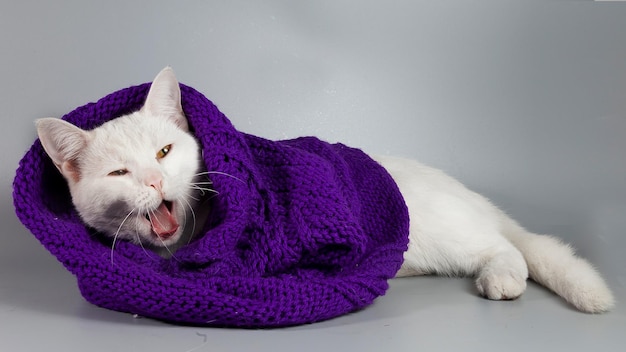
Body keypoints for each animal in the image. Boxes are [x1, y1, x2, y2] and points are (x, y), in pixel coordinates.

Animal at [36, 66, 612, 314]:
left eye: (163, 154)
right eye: (119, 174)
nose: (155, 181)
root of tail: (467, 193)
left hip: (447, 232)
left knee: (507, 248)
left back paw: (502, 278)